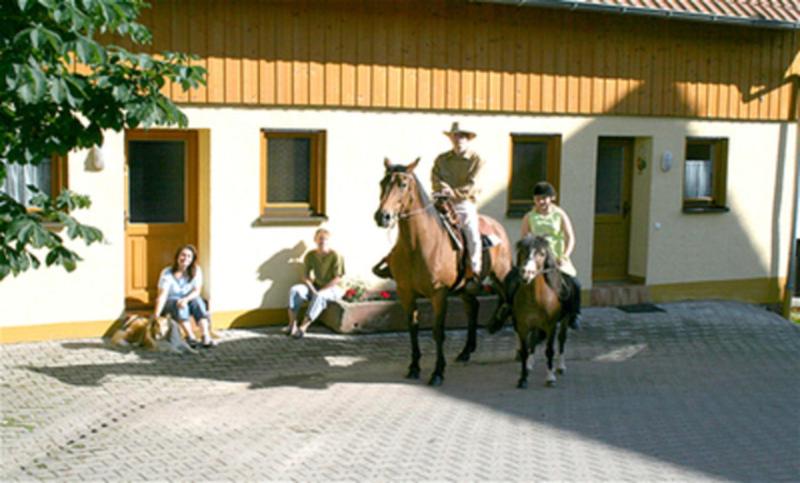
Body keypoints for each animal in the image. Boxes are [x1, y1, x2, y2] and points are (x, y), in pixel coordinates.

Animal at [376, 158, 512, 386]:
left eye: (403, 184)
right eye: (382, 182)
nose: (382, 216)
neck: (418, 245)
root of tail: (498, 227)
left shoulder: (439, 294)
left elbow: (438, 332)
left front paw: (438, 372)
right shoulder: (405, 292)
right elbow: (412, 327)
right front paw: (414, 367)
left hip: (500, 275)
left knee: (510, 298)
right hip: (466, 286)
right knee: (473, 307)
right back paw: (466, 351)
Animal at [512, 234, 568, 390]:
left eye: (542, 254)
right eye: (523, 251)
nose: (526, 273)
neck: (534, 298)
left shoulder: (551, 326)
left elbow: (549, 350)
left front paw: (550, 378)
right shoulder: (523, 327)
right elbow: (524, 351)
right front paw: (523, 379)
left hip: (565, 321)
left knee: (562, 340)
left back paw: (560, 367)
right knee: (533, 342)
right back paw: (530, 365)